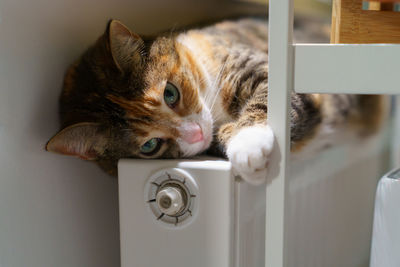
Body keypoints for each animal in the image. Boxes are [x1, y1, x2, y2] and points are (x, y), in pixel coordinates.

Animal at [45, 18, 386, 185]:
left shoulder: (259, 65)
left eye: (170, 93)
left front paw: (249, 146)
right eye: (149, 146)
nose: (196, 134)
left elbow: (271, 97)